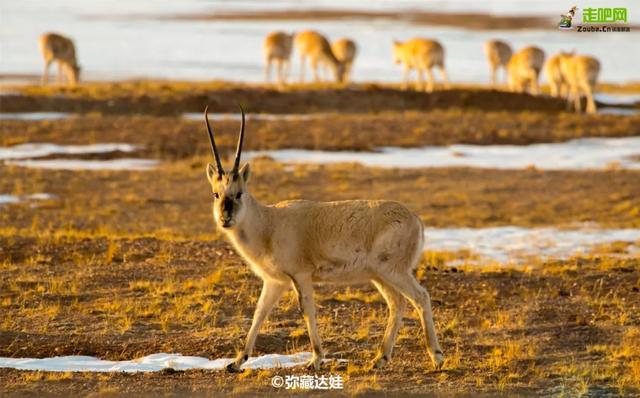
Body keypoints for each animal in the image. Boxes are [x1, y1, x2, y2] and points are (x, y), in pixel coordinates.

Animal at [202, 105, 442, 374]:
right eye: (216, 193)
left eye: (239, 193)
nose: (225, 218)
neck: (269, 223)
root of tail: (415, 218)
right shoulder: (275, 282)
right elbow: (260, 313)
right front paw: (236, 362)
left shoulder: (301, 275)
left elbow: (307, 310)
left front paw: (315, 359)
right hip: (380, 276)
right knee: (397, 302)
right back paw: (379, 358)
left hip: (393, 271)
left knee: (420, 297)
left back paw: (436, 357)